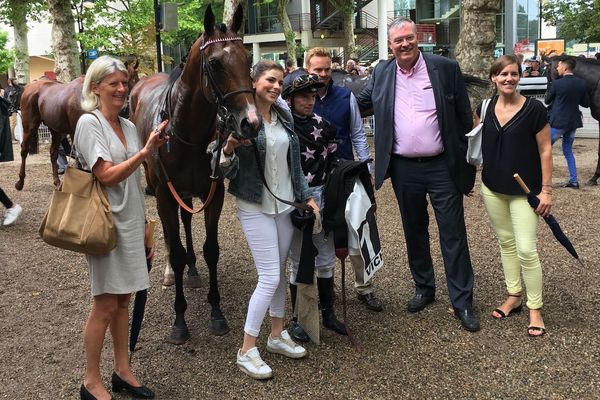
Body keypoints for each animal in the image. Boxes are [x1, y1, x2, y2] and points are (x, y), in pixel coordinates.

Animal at [15, 59, 140, 191]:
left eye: (135, 79)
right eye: (127, 80)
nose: (127, 107)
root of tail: (29, 87)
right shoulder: (76, 130)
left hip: (56, 130)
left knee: (53, 153)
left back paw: (57, 182)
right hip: (29, 127)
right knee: (24, 150)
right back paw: (20, 182)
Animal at [129, 4, 260, 344]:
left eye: (248, 59)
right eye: (215, 63)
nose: (251, 122)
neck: (185, 132)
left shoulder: (214, 193)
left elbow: (211, 250)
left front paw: (216, 312)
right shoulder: (165, 195)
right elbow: (173, 247)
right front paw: (179, 320)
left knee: (187, 221)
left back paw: (192, 270)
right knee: (171, 234)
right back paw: (173, 272)